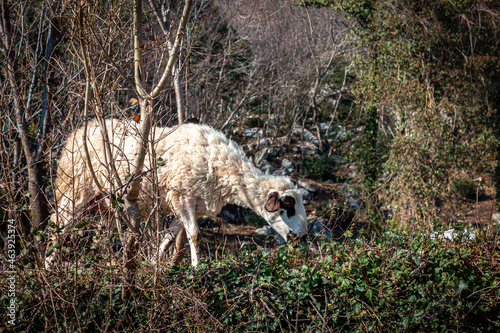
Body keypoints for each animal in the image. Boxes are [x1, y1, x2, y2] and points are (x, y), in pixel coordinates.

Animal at [47, 119, 306, 268]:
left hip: (101, 202)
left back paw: (106, 263)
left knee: (101, 234)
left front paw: (154, 264)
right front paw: (196, 268)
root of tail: (77, 132)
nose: (301, 237)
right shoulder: (182, 195)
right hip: (76, 189)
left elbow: (170, 237)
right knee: (59, 222)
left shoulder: (191, 203)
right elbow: (195, 236)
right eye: (288, 207)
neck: (224, 167)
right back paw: (48, 266)